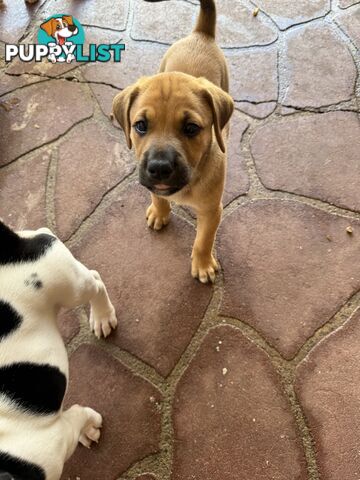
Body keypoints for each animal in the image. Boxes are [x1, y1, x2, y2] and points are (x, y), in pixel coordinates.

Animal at [0, 221, 116, 480]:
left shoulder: (54, 442)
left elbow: (76, 417)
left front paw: (89, 424)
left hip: (70, 285)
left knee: (96, 282)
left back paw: (102, 316)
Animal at [112, 0, 233, 284]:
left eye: (191, 128)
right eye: (140, 126)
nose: (159, 168)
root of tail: (201, 34)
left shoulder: (212, 210)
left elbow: (203, 240)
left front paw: (202, 264)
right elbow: (157, 195)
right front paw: (159, 211)